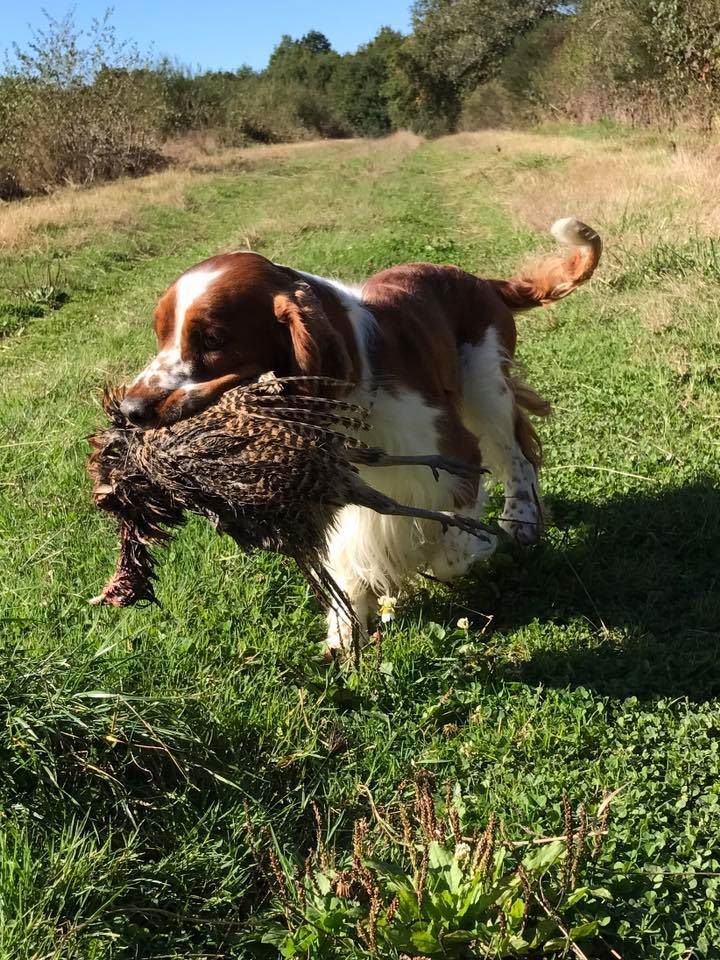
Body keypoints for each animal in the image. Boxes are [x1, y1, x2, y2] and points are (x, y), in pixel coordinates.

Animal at [121, 218, 600, 648]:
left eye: (213, 339)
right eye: (161, 335)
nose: (130, 410)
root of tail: (478, 280)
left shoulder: (454, 453)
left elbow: (451, 544)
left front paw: (454, 552)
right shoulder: (330, 485)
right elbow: (347, 560)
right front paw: (346, 631)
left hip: (485, 385)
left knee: (518, 456)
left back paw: (520, 520)